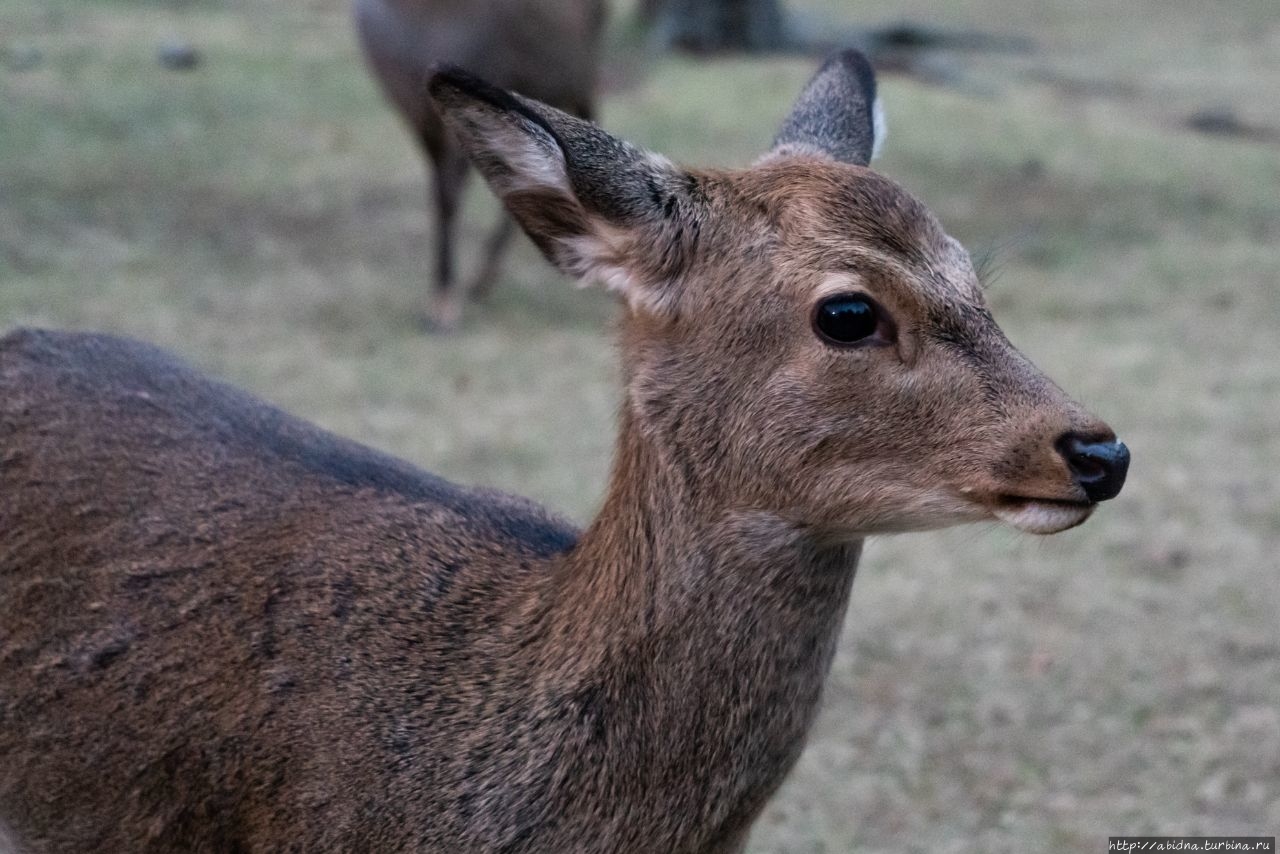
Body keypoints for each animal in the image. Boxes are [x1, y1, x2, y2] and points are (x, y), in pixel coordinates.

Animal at [353, 0, 606, 330]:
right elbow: (441, 197)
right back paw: (481, 282)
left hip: (575, 77)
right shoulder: (418, 114)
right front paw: (440, 304)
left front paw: (444, 311)